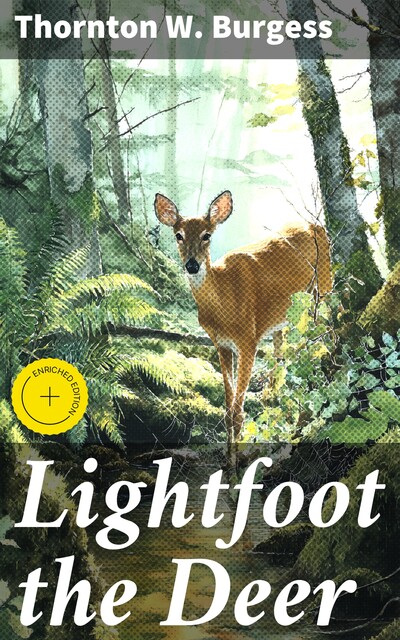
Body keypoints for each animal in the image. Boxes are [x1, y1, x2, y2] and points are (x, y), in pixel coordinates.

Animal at [154, 190, 332, 445]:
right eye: (178, 235)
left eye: (206, 235)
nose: (192, 265)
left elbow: (238, 412)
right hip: (286, 312)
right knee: (282, 344)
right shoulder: (221, 344)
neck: (222, 305)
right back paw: (273, 393)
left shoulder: (248, 340)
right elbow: (228, 409)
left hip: (325, 284)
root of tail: (315, 225)